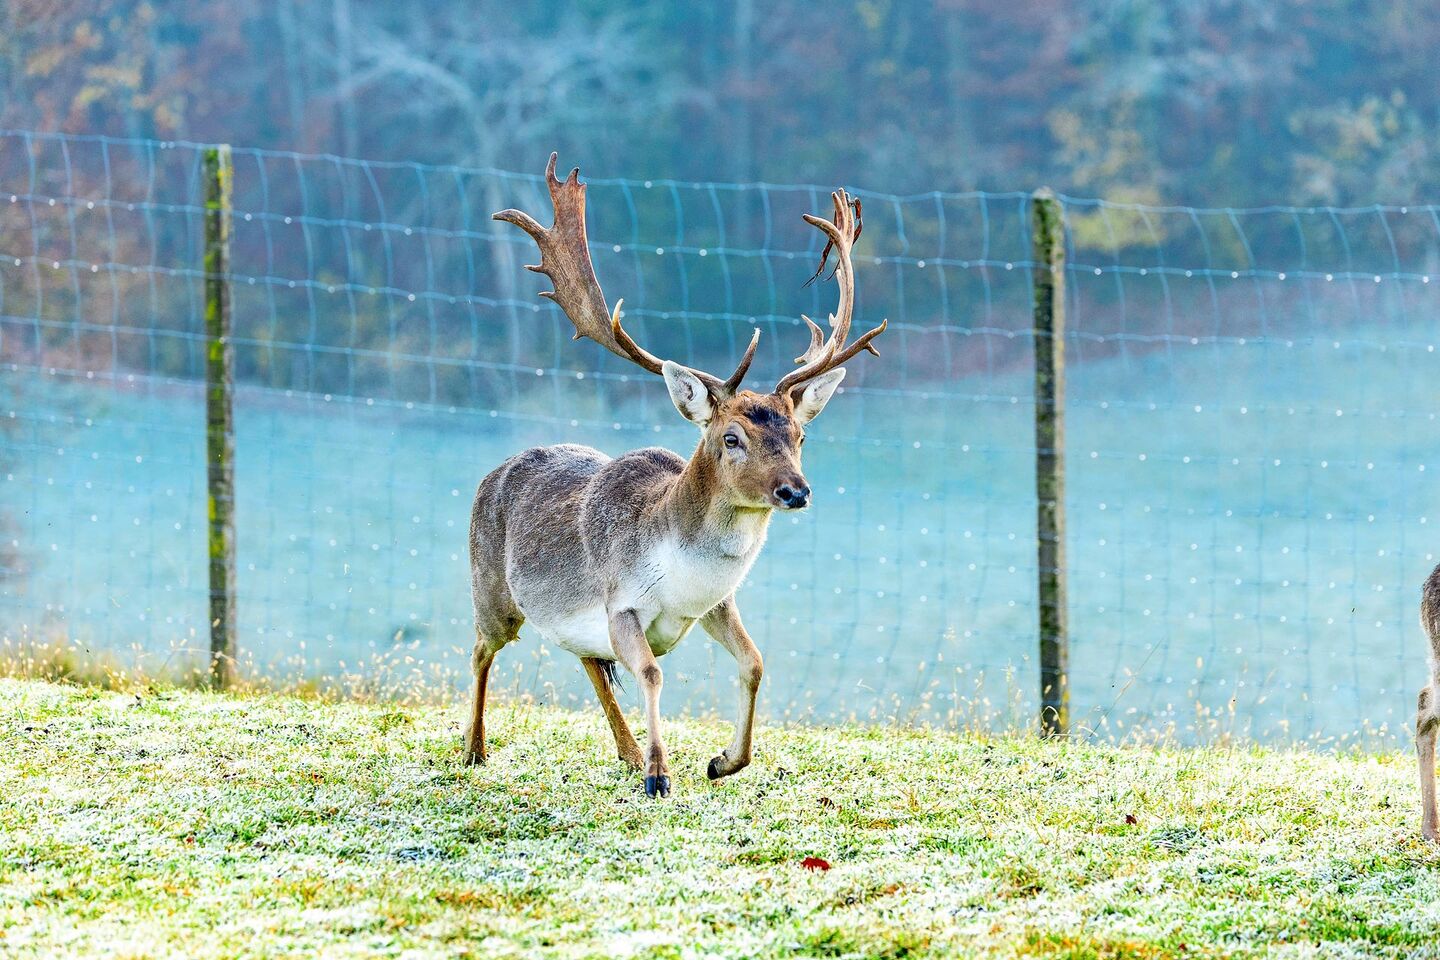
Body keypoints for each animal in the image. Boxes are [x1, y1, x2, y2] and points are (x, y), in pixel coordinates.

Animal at [464, 154, 885, 796]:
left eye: (800, 435)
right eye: (731, 438)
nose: (795, 491)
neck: (682, 572)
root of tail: (492, 473)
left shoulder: (715, 605)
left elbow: (754, 662)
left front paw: (722, 761)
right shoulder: (621, 604)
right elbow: (652, 673)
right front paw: (661, 776)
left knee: (587, 660)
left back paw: (626, 751)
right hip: (490, 589)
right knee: (481, 651)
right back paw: (475, 749)